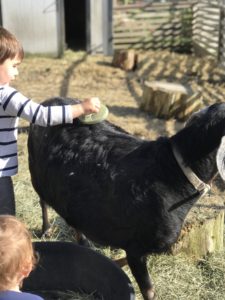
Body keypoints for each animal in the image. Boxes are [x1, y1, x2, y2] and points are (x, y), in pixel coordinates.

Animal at [27, 97, 225, 298]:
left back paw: (84, 242)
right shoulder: (136, 247)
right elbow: (148, 290)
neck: (172, 172)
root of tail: (50, 101)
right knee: (43, 201)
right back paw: (46, 230)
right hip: (36, 172)